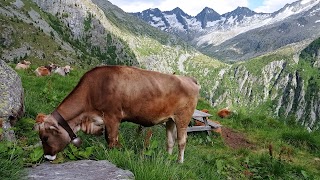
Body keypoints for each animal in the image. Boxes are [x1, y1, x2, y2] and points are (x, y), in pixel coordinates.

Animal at [35, 65, 200, 163]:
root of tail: (189, 79)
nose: (47, 157)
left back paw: (179, 162)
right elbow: (111, 138)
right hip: (170, 119)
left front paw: (111, 156)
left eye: (45, 137)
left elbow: (111, 139)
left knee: (182, 141)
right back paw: (167, 159)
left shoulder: (112, 116)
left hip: (183, 118)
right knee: (170, 140)